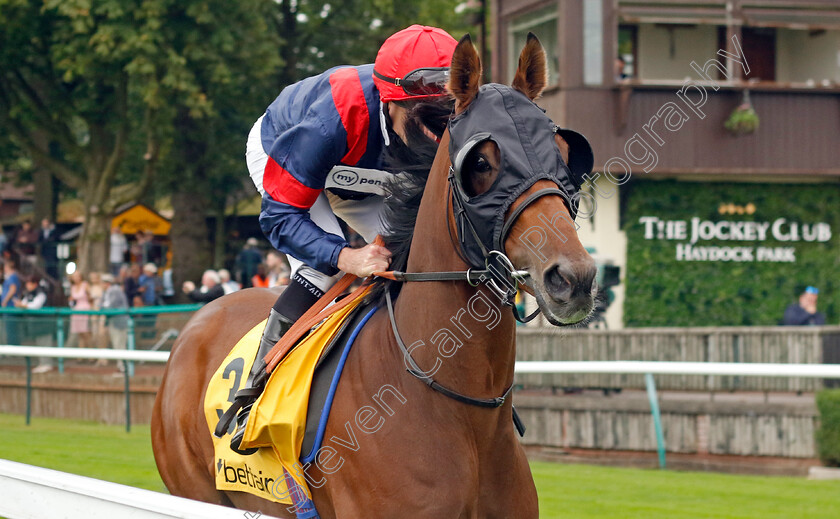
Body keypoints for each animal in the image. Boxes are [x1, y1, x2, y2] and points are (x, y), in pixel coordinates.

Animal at [151, 34, 596, 516]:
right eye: (480, 163)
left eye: (564, 156)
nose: (573, 278)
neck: (459, 406)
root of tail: (195, 321)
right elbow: (281, 211)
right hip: (194, 491)